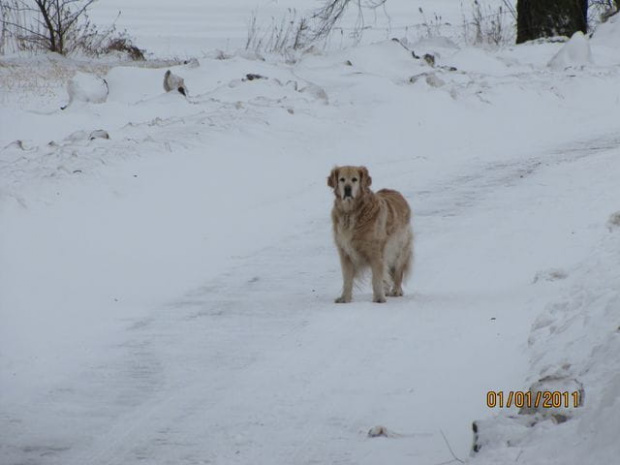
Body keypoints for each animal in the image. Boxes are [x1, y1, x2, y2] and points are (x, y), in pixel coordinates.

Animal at [326, 165, 414, 302]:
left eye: (354, 179)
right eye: (342, 179)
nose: (347, 189)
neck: (351, 213)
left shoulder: (376, 252)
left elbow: (376, 278)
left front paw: (379, 298)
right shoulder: (344, 252)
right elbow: (347, 279)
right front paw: (345, 298)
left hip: (400, 248)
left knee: (398, 271)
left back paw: (396, 290)